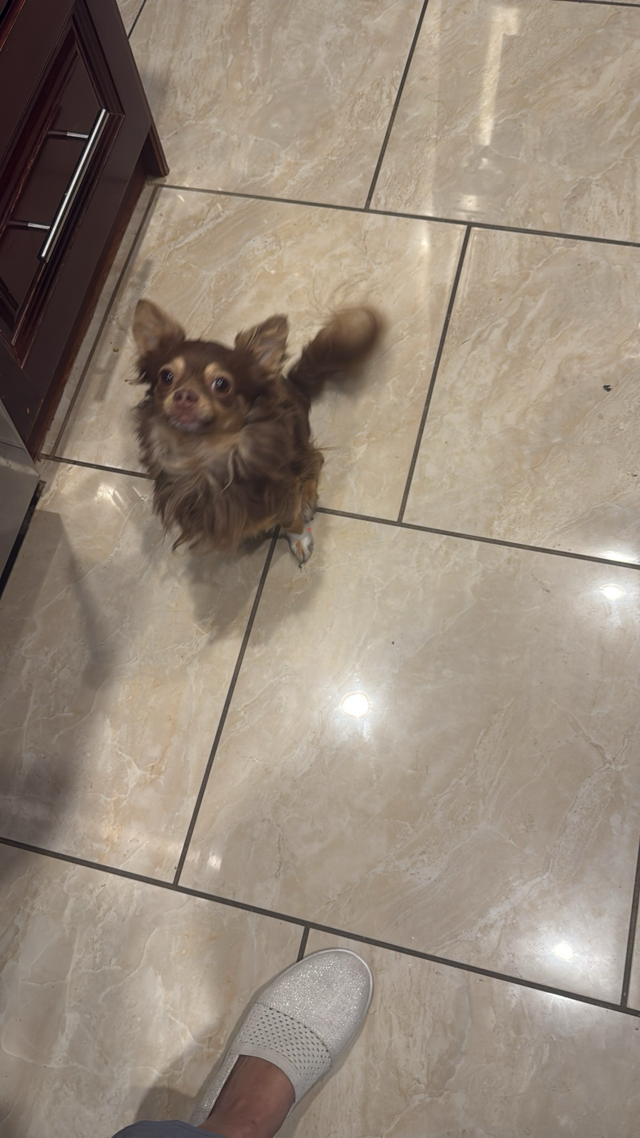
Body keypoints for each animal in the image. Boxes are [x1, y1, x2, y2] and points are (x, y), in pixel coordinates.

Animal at [132, 299, 381, 563]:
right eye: (166, 376)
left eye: (222, 384)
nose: (184, 395)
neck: (201, 453)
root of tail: (292, 384)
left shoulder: (281, 495)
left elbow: (289, 521)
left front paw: (299, 540)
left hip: (298, 448)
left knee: (316, 459)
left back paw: (306, 501)